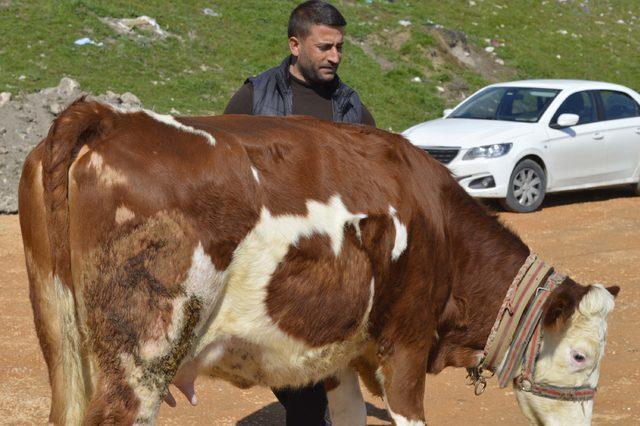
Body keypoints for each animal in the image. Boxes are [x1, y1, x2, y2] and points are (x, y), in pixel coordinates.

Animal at [20, 98, 616, 424]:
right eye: (581, 355)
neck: (440, 221)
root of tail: (109, 117)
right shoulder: (405, 342)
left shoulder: (341, 354)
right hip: (143, 356)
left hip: (62, 339)